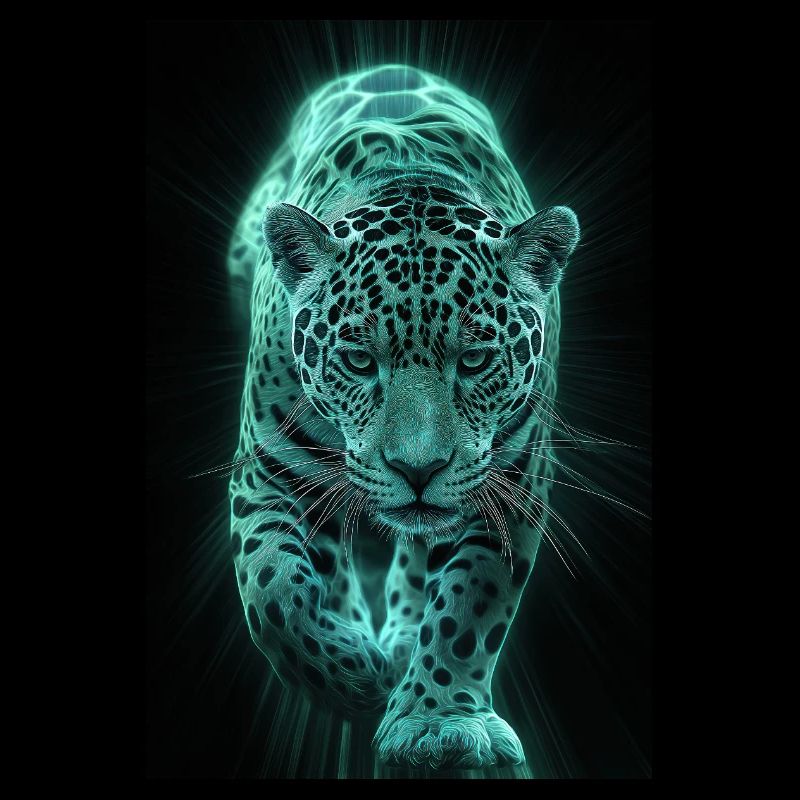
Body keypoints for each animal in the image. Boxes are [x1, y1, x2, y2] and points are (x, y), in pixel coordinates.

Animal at [226, 64, 580, 770]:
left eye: (474, 359)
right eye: (360, 359)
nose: (418, 470)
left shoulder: (514, 482)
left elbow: (472, 602)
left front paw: (436, 720)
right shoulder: (269, 469)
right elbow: (273, 587)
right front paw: (355, 681)